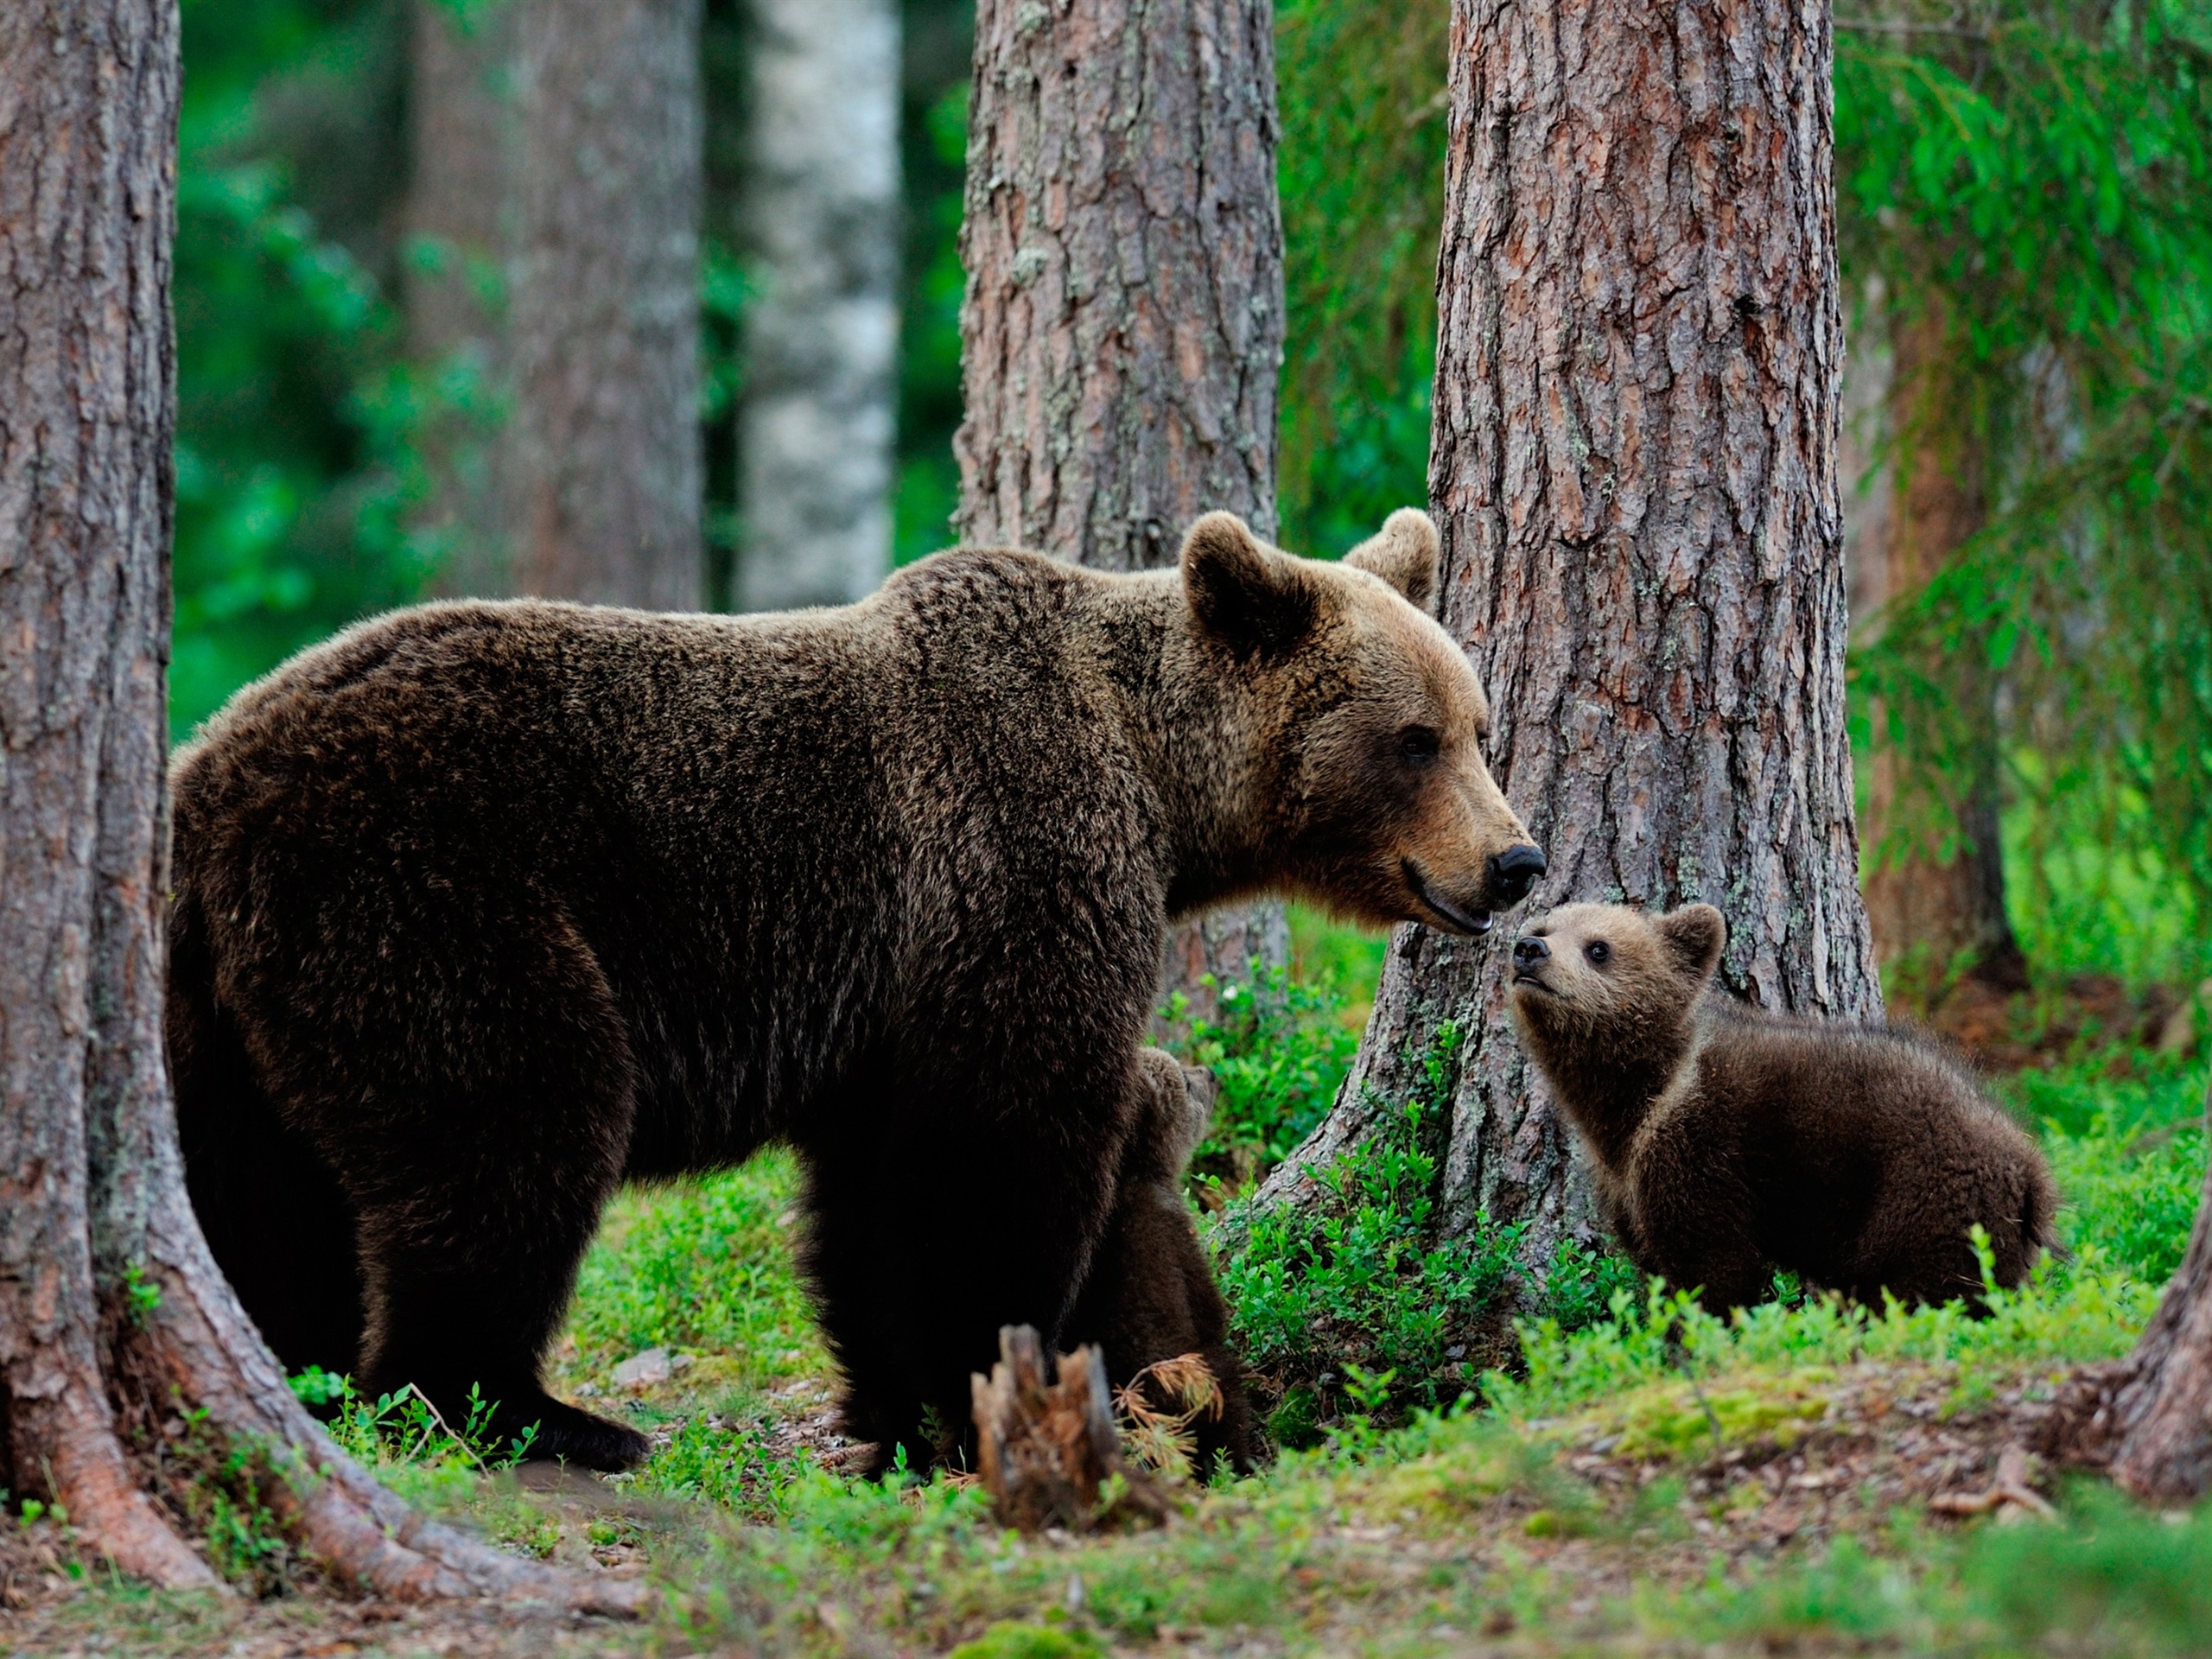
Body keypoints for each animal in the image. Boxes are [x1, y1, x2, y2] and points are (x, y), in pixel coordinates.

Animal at [172, 506, 1548, 1468]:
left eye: (1480, 725)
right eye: (1415, 738)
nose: (1515, 861)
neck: (1163, 793)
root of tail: (210, 770)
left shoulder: (877, 999)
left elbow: (870, 1192)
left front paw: (897, 1410)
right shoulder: (1013, 860)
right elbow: (992, 1152)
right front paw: (983, 1385)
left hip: (226, 993)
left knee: (253, 1186)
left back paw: (302, 1368)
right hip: (431, 892)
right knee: (514, 1125)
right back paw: (526, 1410)